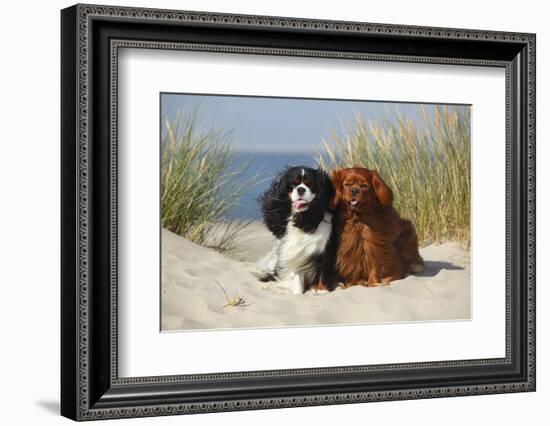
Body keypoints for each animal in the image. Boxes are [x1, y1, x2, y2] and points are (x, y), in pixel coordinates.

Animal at [254, 167, 336, 296]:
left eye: (310, 184)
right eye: (293, 184)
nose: (301, 189)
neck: (302, 218)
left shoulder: (326, 250)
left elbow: (324, 270)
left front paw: (321, 290)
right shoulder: (298, 252)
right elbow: (297, 276)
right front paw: (297, 292)